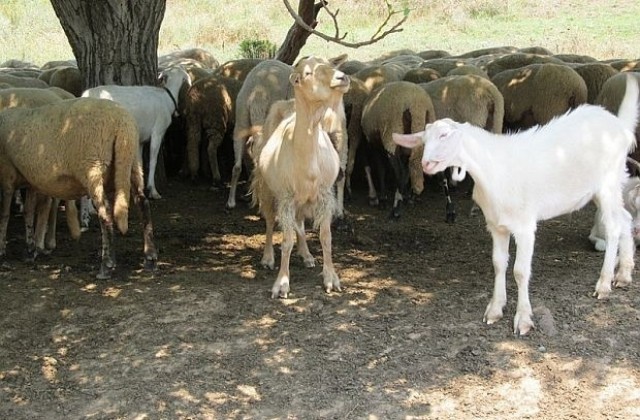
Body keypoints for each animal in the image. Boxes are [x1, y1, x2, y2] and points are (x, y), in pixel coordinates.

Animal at [0, 97, 159, 278]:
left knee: (105, 212)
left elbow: (5, 214)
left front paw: (3, 250)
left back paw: (106, 265)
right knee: (143, 204)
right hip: (131, 163)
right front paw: (29, 250)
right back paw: (150, 258)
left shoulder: (7, 176)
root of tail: (122, 124)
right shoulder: (30, 180)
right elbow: (28, 213)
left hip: (93, 167)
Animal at [80, 66, 190, 200]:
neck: (167, 97)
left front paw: (140, 189)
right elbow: (153, 160)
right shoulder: (157, 131)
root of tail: (85, 95)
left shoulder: (140, 140)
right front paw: (153, 190)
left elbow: (139, 163)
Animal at [250, 54, 350, 298]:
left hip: (302, 199)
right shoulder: (285, 196)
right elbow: (286, 240)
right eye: (307, 73)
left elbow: (326, 237)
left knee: (300, 224)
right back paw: (268, 258)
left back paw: (306, 255)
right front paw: (282, 283)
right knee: (270, 222)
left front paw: (331, 278)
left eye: (331, 65)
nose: (342, 77)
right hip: (268, 189)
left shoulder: (324, 195)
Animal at [392, 73, 636, 334]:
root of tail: (619, 125)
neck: (492, 168)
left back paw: (604, 284)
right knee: (625, 219)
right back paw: (623, 274)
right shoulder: (496, 225)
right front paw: (495, 309)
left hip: (608, 183)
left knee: (613, 228)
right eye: (423, 139)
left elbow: (520, 271)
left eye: (445, 135)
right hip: (605, 189)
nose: (426, 164)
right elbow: (498, 264)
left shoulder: (525, 226)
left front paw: (523, 319)